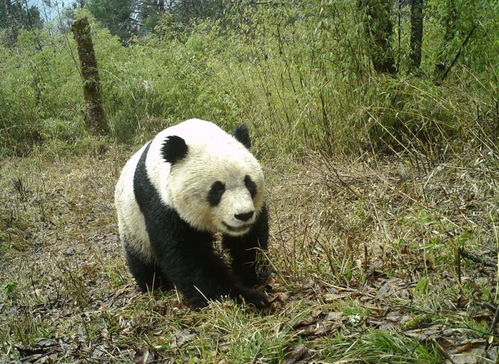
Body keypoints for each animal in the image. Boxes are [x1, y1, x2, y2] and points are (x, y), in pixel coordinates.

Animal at [114, 118, 270, 308]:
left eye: (249, 183)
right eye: (217, 189)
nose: (244, 215)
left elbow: (249, 241)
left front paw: (253, 276)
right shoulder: (160, 201)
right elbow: (188, 255)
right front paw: (245, 298)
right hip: (131, 223)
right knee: (142, 258)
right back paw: (156, 285)